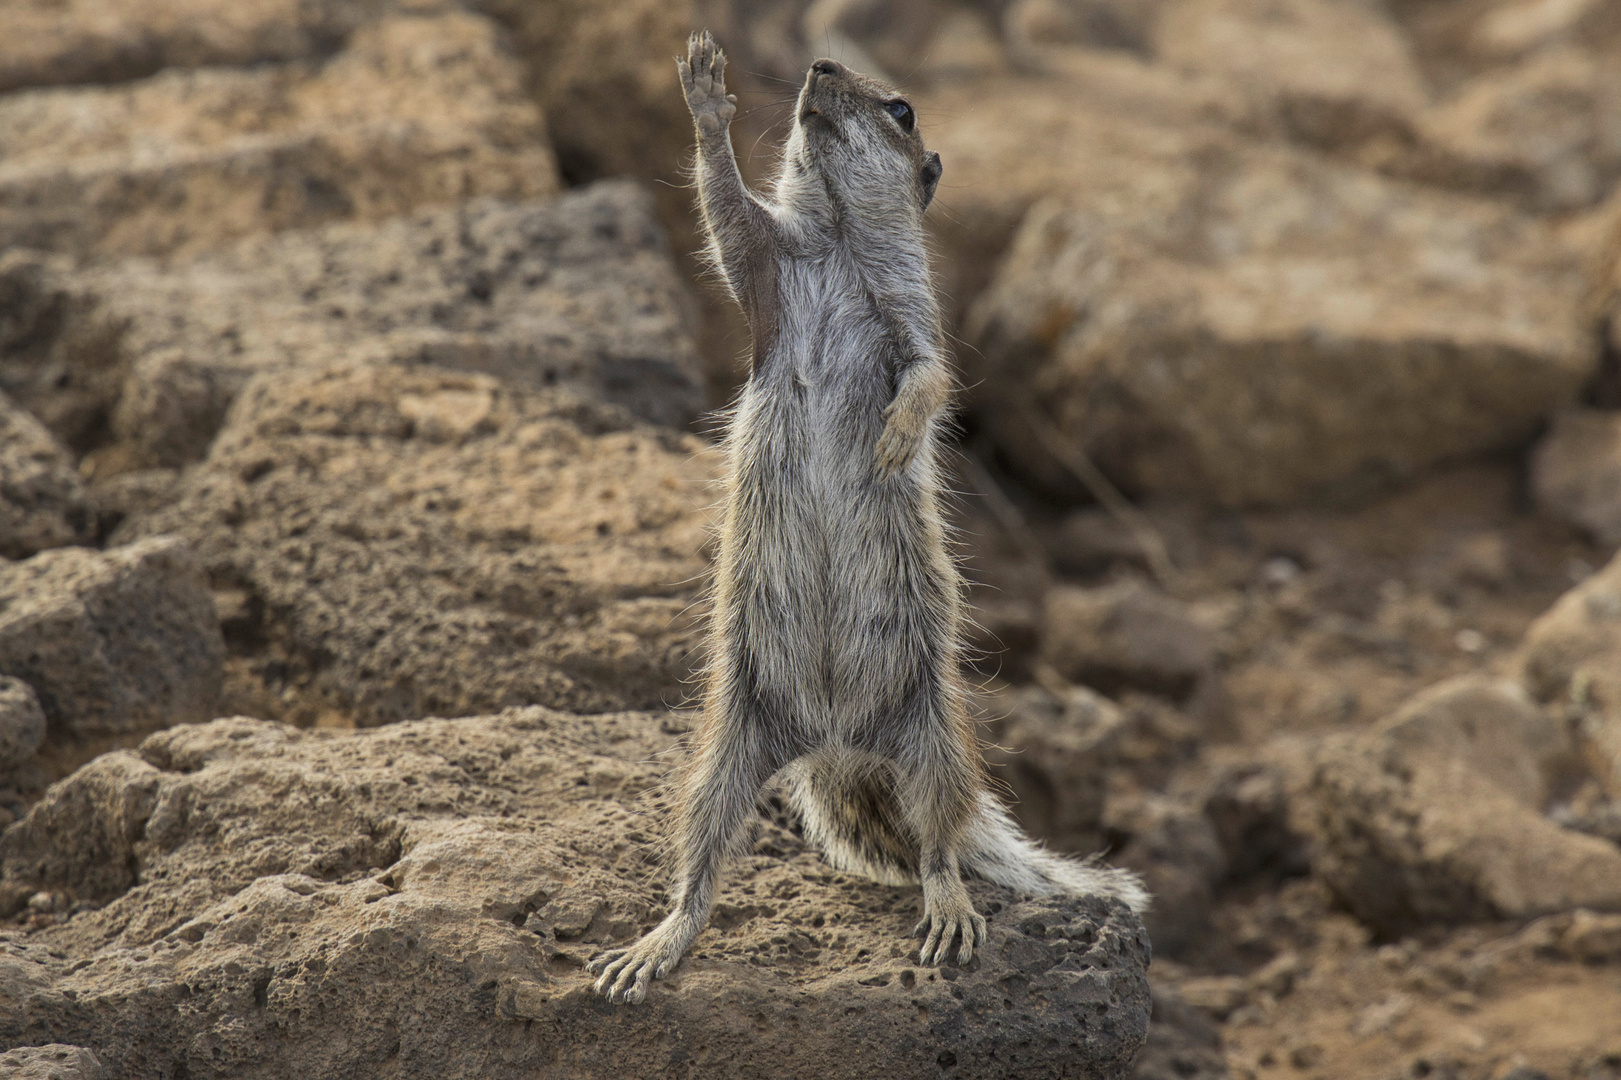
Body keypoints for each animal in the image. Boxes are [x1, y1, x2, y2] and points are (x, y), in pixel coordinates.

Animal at [590, 27, 1147, 998]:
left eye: (902, 108)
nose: (817, 67)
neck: (838, 244)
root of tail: (834, 741)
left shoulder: (914, 313)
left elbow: (931, 376)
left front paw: (892, 440)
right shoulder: (762, 271)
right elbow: (722, 209)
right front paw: (705, 98)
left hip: (931, 735)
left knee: (937, 843)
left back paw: (950, 911)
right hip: (724, 748)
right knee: (701, 859)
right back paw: (656, 943)